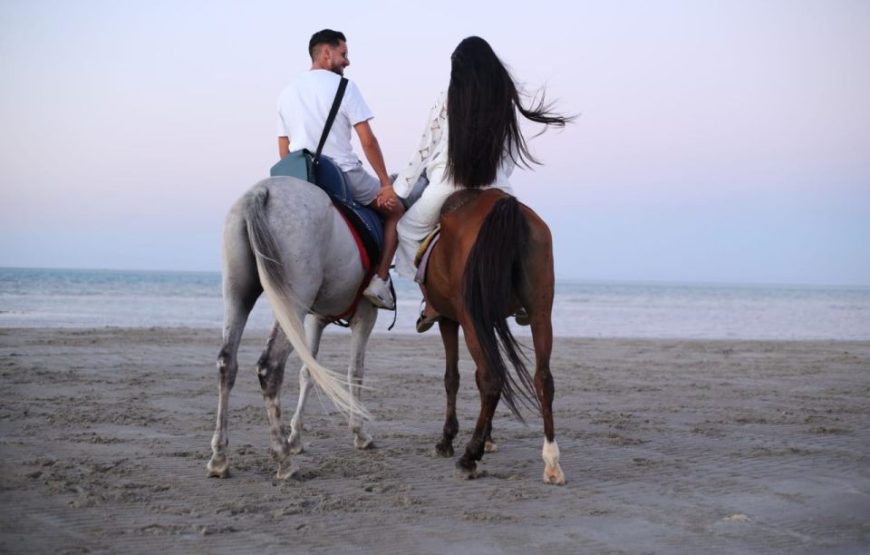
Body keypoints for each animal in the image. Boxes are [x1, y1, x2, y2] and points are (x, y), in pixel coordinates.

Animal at [210, 176, 378, 480]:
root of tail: (260, 192)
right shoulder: (365, 316)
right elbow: (355, 372)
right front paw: (359, 432)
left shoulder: (314, 319)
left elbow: (308, 371)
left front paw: (296, 437)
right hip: (290, 302)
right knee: (269, 366)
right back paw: (283, 459)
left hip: (238, 294)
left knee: (227, 362)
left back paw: (219, 457)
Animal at [424, 187, 564, 482]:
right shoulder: (489, 321)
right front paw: (488, 438)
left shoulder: (450, 320)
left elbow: (453, 378)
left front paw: (447, 440)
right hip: (540, 312)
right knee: (543, 379)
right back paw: (551, 461)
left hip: (469, 318)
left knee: (492, 379)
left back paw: (468, 457)